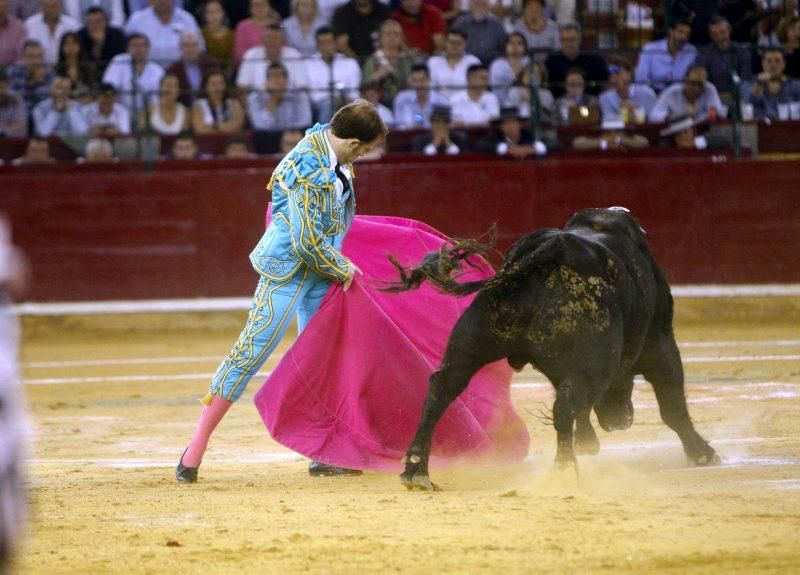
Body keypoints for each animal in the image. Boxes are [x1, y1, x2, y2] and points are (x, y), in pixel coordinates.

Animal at [384, 207, 720, 490]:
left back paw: (416, 470)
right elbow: (672, 406)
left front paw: (587, 442)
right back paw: (564, 471)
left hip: (471, 343)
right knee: (565, 406)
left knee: (440, 390)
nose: (619, 422)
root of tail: (550, 251)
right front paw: (702, 453)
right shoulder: (660, 343)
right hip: (594, 365)